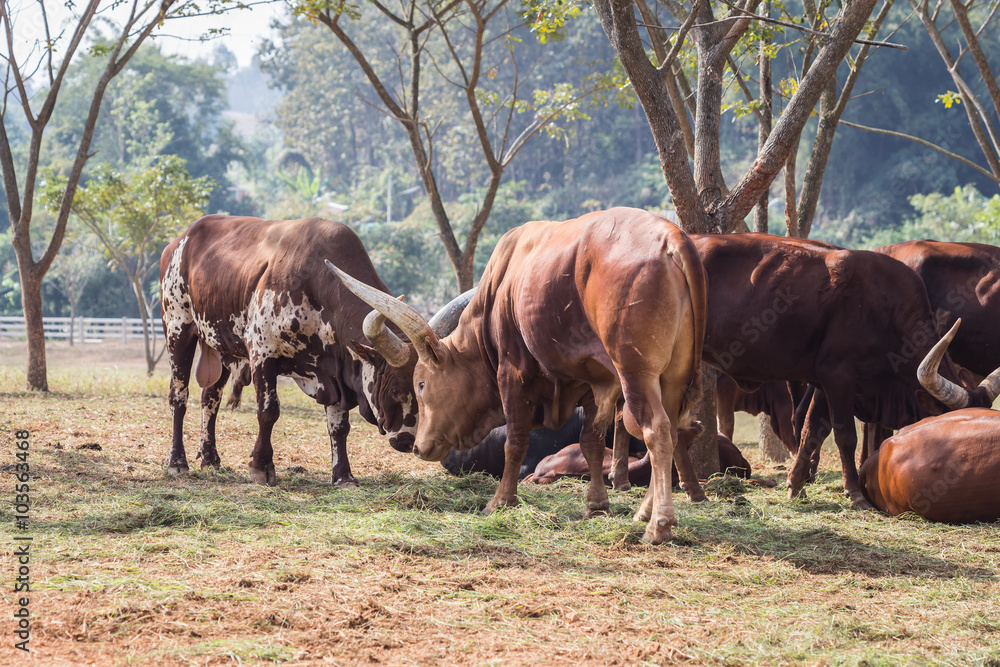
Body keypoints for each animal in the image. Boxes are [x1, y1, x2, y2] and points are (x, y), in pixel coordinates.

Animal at [160, 215, 433, 487]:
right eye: (395, 390)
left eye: (422, 388)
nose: (407, 441)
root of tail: (178, 241)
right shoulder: (262, 352)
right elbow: (268, 412)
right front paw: (261, 467)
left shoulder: (334, 371)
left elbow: (339, 426)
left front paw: (343, 475)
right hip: (178, 328)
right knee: (178, 396)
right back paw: (177, 462)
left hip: (220, 346)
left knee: (209, 398)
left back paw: (210, 458)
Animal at [327, 207, 707, 544]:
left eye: (421, 384)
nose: (419, 446)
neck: (503, 290)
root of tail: (670, 237)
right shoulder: (592, 382)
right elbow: (591, 442)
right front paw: (597, 505)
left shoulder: (514, 374)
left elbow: (515, 441)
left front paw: (500, 501)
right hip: (672, 378)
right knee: (671, 430)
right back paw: (644, 511)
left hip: (636, 372)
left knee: (656, 431)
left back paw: (659, 524)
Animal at [686, 233, 1000, 508]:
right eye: (954, 421)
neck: (884, 309)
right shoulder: (839, 379)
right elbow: (845, 435)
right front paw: (854, 494)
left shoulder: (824, 383)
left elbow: (811, 430)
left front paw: (796, 485)